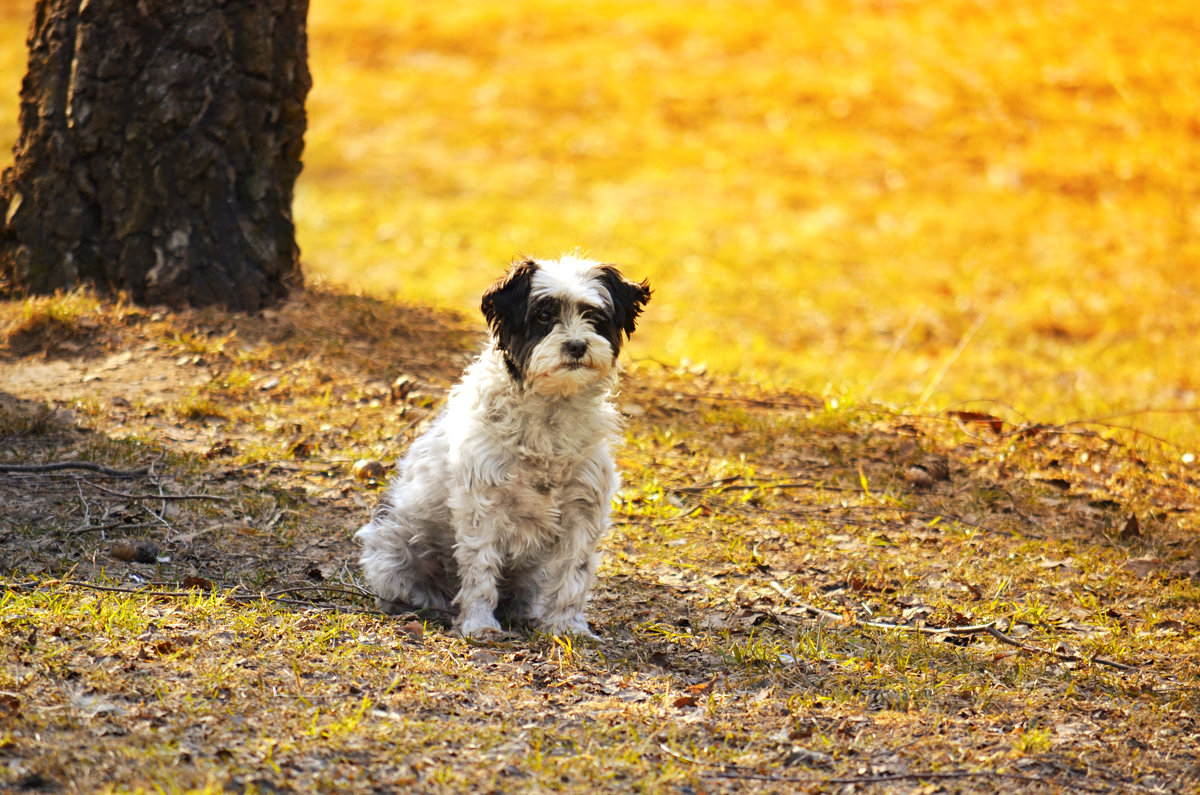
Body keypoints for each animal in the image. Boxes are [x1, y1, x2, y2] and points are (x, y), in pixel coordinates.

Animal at [355, 258, 652, 638]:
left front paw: (568, 626)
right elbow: (480, 569)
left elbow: (574, 573)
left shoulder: (583, 509)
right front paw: (479, 624)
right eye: (543, 316)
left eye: (594, 316)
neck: (550, 413)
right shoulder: (483, 506)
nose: (576, 346)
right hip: (394, 550)